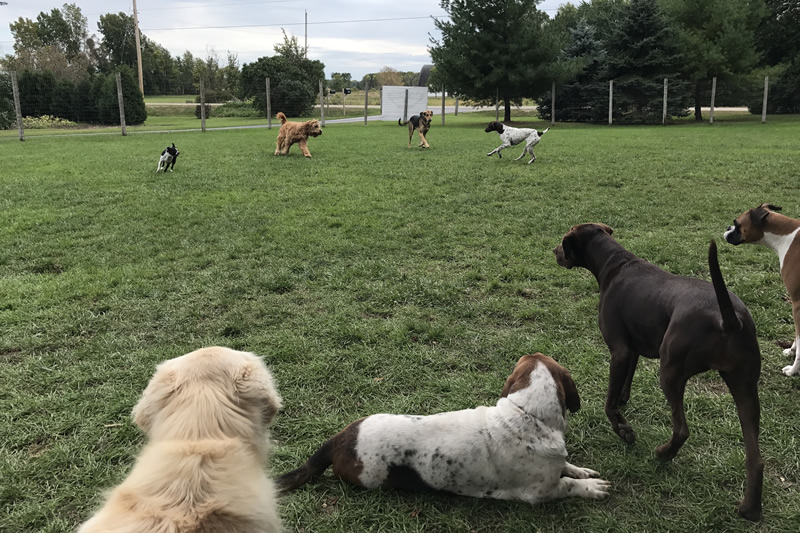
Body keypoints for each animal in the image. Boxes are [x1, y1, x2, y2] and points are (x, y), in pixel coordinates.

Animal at [278, 352, 608, 504]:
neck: (529, 414)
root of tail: (337, 440)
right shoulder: (541, 492)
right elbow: (569, 485)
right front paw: (591, 487)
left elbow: (568, 466)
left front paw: (582, 471)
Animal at [724, 202, 800, 376]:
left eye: (737, 223)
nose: (727, 227)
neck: (787, 237)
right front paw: (791, 351)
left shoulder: (797, 303)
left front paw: (793, 371)